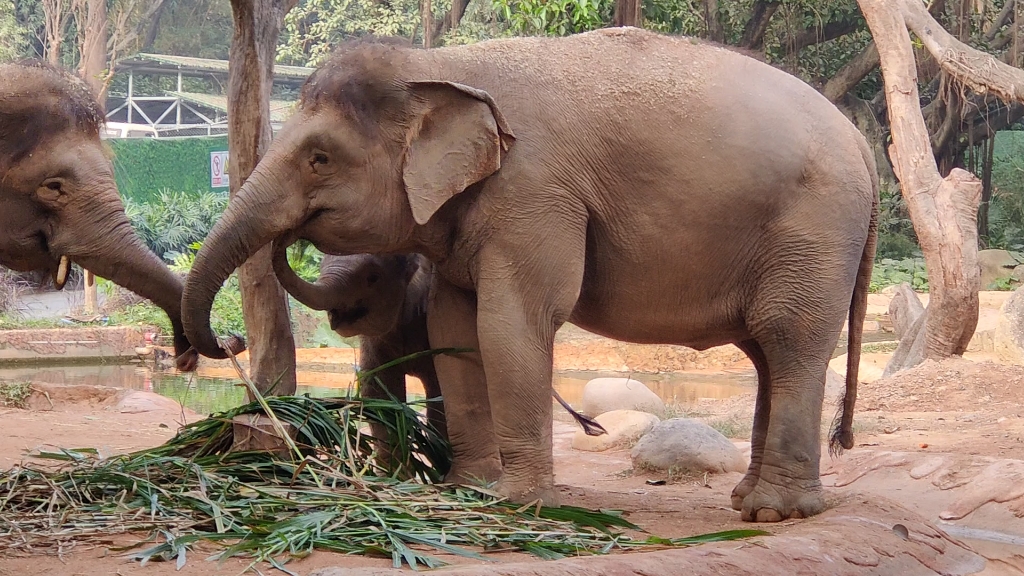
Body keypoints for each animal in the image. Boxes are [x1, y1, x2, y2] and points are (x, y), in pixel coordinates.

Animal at [180, 28, 876, 520]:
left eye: (319, 158)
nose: (225, 342)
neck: (440, 66)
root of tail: (865, 144)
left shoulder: (534, 191)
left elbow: (512, 322)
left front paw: (518, 502)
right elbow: (456, 329)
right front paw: (469, 489)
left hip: (813, 233)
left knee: (789, 339)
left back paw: (773, 512)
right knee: (764, 353)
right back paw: (746, 500)